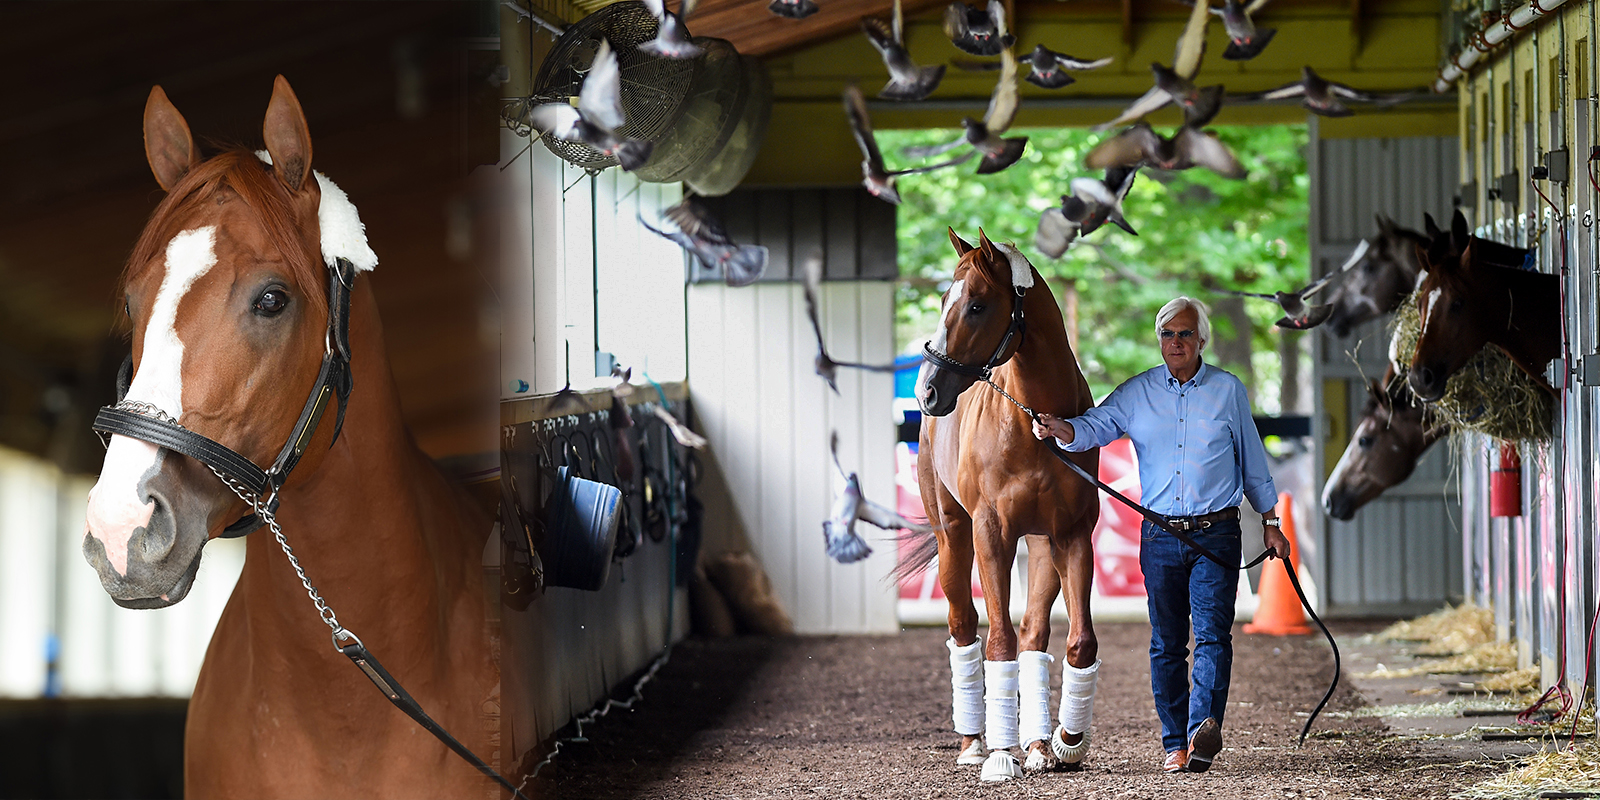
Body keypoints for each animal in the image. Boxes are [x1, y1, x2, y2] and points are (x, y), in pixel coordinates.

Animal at [908, 225, 1107, 780]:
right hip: (954, 537)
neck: (1034, 421)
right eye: (942, 299)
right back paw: (975, 742)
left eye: (976, 305)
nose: (927, 391)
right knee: (964, 625)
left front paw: (1066, 740)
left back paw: (1037, 744)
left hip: (1040, 545)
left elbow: (1078, 642)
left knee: (1035, 633)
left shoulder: (1071, 535)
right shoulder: (991, 534)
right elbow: (998, 640)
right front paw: (999, 757)